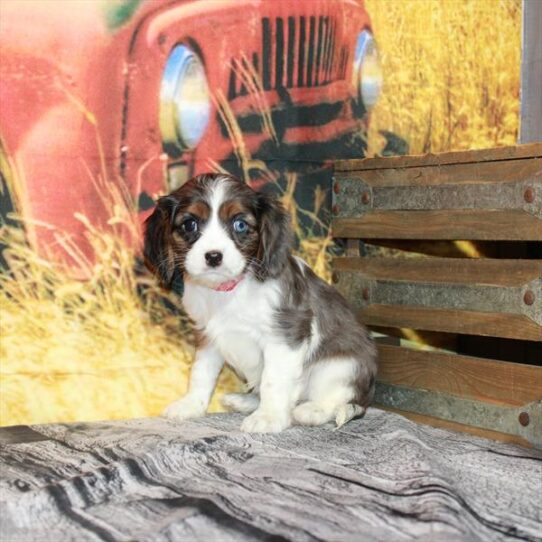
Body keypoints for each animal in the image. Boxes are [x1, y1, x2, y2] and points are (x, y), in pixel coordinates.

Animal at [144, 172, 378, 436]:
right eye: (189, 224)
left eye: (240, 224)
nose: (213, 256)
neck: (229, 290)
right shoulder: (207, 337)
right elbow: (201, 373)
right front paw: (191, 405)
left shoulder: (285, 334)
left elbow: (273, 380)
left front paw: (269, 416)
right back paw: (244, 401)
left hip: (342, 366)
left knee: (338, 397)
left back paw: (312, 410)